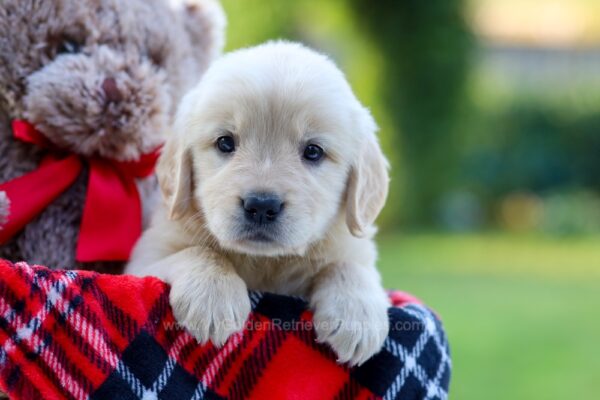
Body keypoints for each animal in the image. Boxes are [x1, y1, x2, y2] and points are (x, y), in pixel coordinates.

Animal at [125, 41, 390, 366]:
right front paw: (214, 298)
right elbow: (199, 251)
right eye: (225, 143)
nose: (262, 206)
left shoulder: (352, 248)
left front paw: (357, 317)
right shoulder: (143, 261)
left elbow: (349, 266)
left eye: (313, 151)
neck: (266, 262)